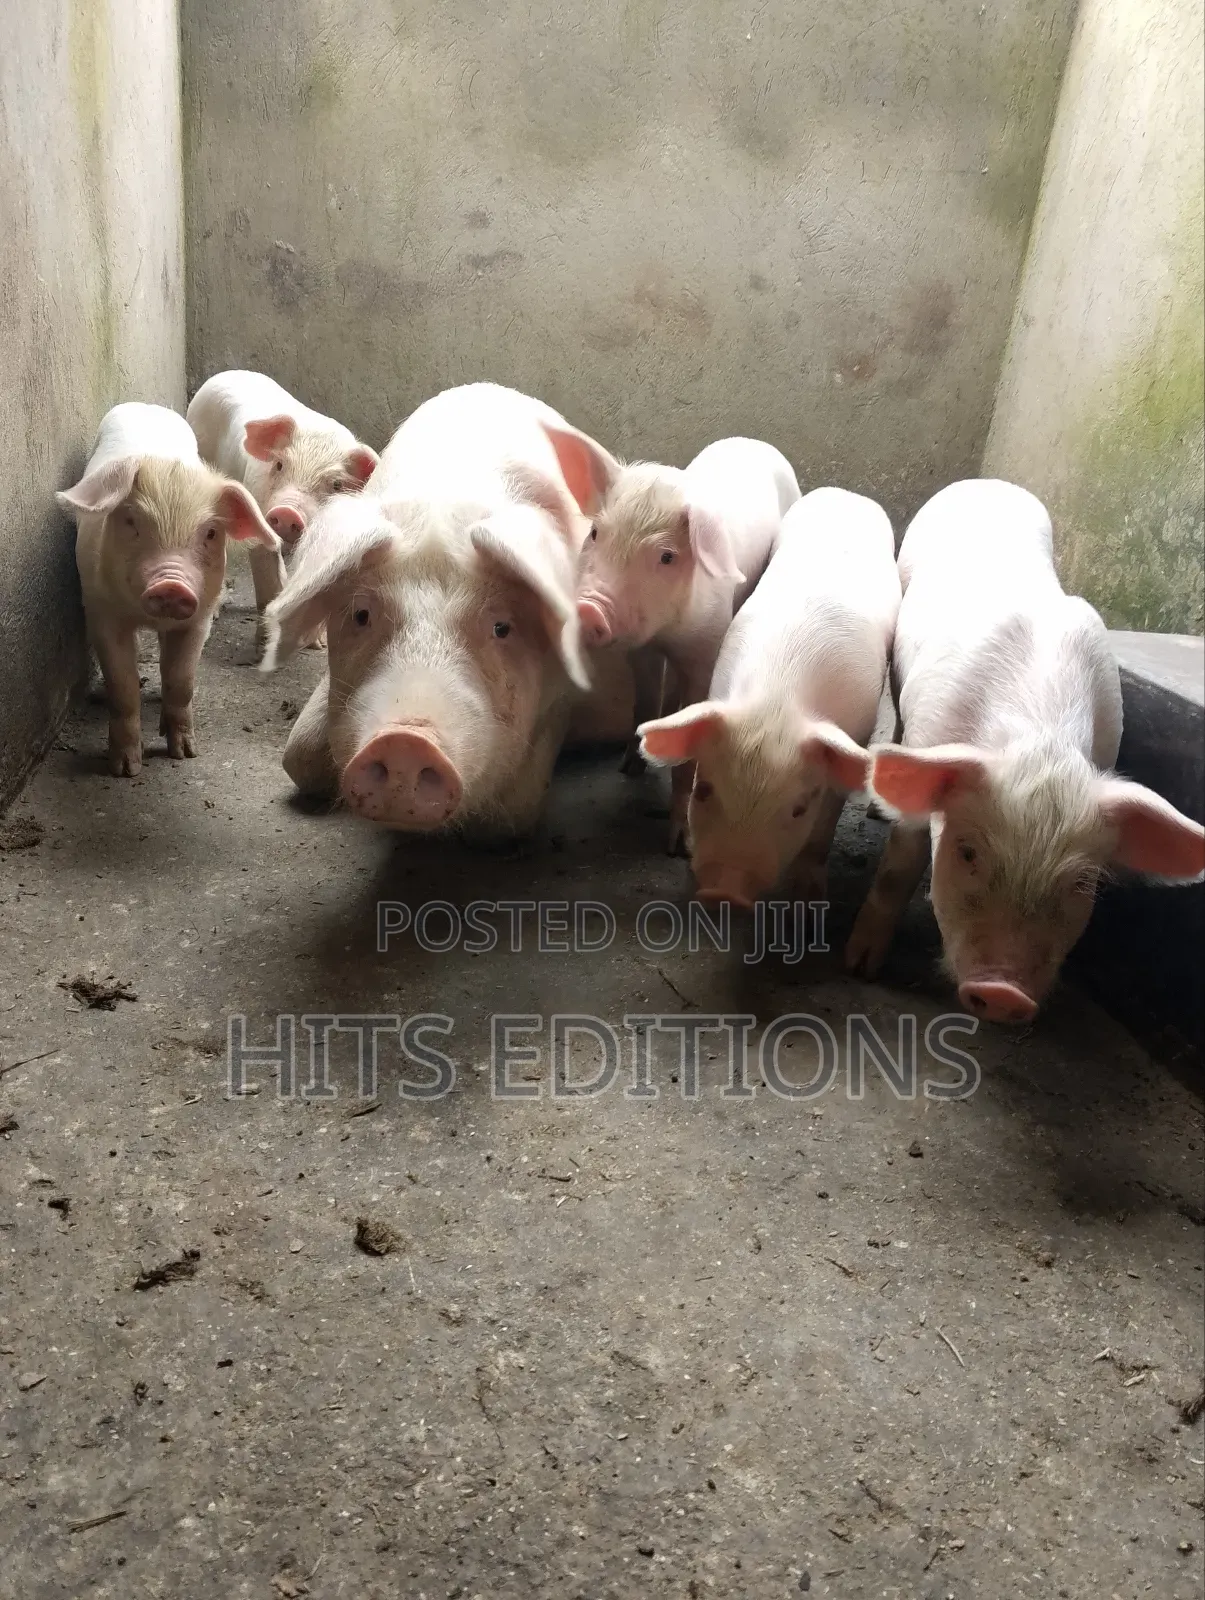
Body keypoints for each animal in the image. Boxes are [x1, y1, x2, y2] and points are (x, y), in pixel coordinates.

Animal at [57, 402, 279, 776]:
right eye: (131, 521)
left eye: (211, 533)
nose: (172, 584)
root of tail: (149, 406)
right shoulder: (101, 610)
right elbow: (123, 684)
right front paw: (125, 769)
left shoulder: (199, 618)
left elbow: (181, 678)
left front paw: (185, 754)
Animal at [531, 425, 801, 850]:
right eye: (595, 533)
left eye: (667, 556)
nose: (589, 608)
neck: (667, 634)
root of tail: (756, 442)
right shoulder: (640, 650)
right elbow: (643, 701)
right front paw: (629, 767)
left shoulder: (705, 649)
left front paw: (679, 845)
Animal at [636, 488, 900, 906]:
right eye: (703, 789)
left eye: (798, 809)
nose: (726, 892)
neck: (774, 704)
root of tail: (847, 493)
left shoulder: (858, 731)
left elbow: (826, 825)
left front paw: (809, 897)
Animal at [846, 478, 1205, 1024]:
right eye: (966, 851)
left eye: (1082, 883)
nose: (1002, 993)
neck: (1042, 742)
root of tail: (988, 482)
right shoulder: (931, 740)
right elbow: (899, 865)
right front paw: (860, 967)